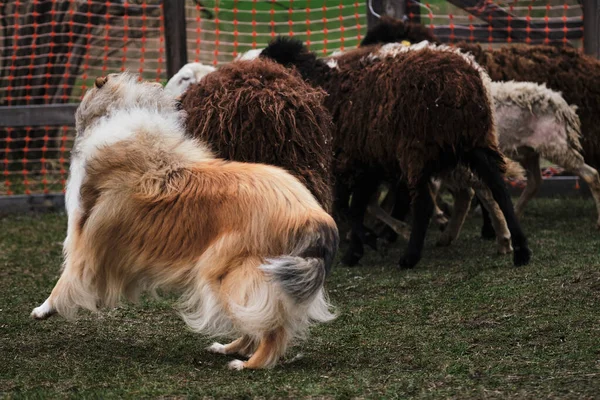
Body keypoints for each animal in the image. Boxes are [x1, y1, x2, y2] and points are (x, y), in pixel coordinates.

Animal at [30, 71, 338, 368]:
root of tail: (311, 214)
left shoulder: (82, 239)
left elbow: (66, 278)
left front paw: (43, 309)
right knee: (259, 320)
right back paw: (229, 348)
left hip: (229, 271)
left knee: (272, 327)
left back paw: (249, 364)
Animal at [258, 36, 528, 268]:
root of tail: (462, 81)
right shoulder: (368, 162)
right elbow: (356, 208)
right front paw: (357, 250)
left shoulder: (348, 163)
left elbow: (348, 209)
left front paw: (369, 240)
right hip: (475, 142)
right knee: (499, 188)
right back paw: (520, 248)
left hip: (416, 150)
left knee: (424, 203)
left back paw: (411, 256)